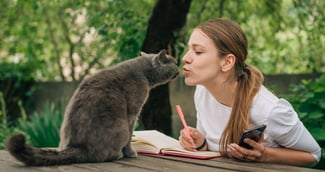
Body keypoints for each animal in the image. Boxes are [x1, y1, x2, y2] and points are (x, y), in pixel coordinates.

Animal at [5, 49, 177, 165]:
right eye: (174, 62)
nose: (179, 66)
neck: (144, 73)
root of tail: (78, 146)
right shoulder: (133, 113)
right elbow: (130, 137)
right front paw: (131, 153)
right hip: (120, 126)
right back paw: (118, 155)